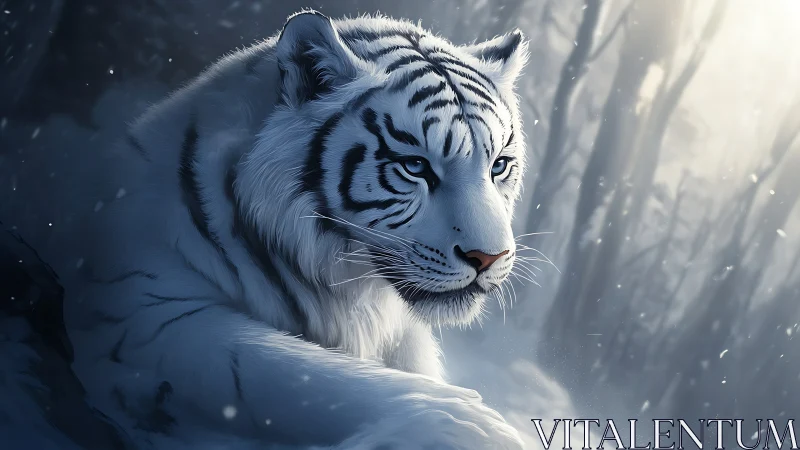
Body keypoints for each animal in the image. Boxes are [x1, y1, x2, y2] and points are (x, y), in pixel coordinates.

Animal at [61, 10, 530, 449]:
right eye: (415, 166)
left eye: (498, 166)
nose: (490, 258)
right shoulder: (147, 307)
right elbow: (298, 374)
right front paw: (471, 428)